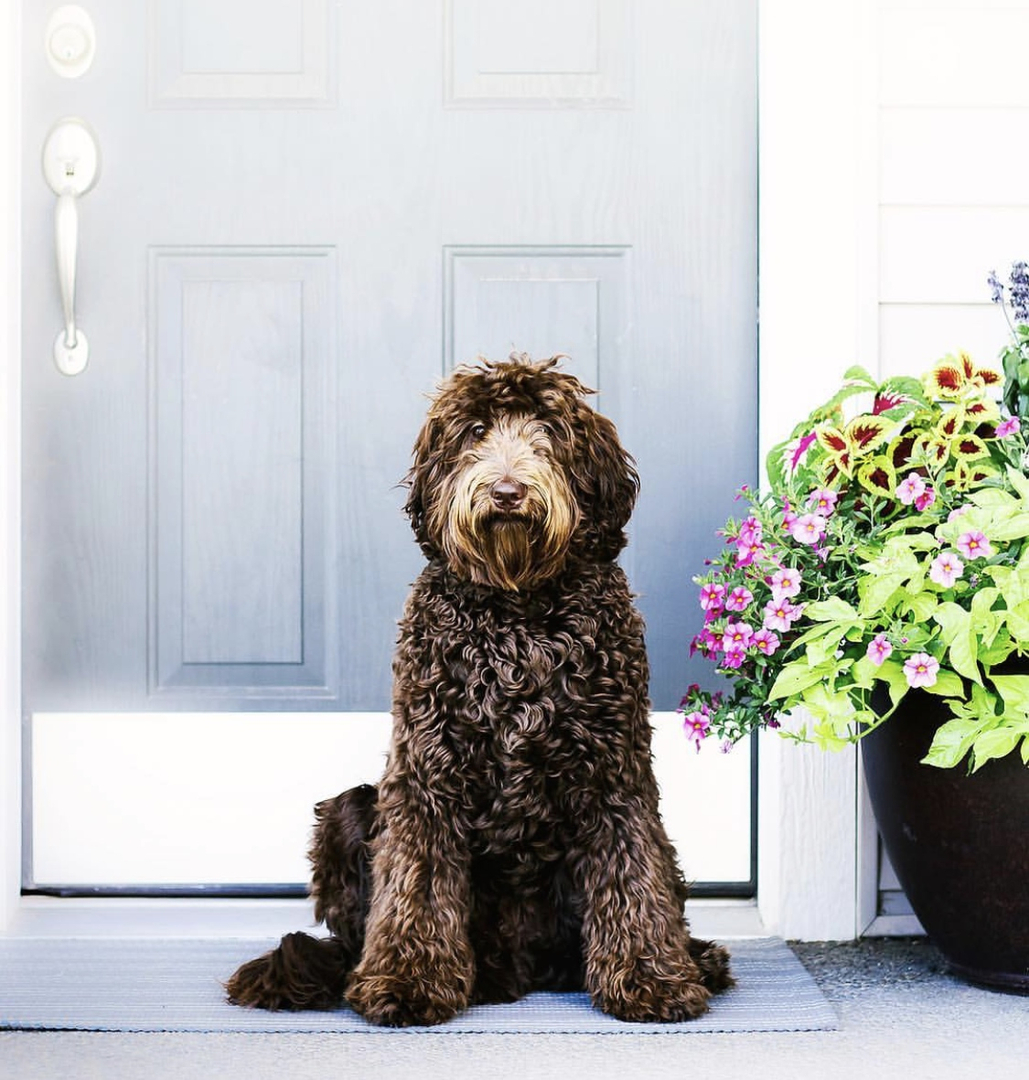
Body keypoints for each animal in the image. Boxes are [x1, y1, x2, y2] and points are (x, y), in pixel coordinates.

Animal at [228, 358, 734, 1023]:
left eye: (548, 429)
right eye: (473, 431)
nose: (507, 492)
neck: (516, 612)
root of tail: (526, 966)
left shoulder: (616, 771)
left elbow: (631, 873)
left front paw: (651, 978)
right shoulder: (426, 770)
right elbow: (416, 881)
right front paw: (406, 982)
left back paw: (692, 958)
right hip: (350, 807)